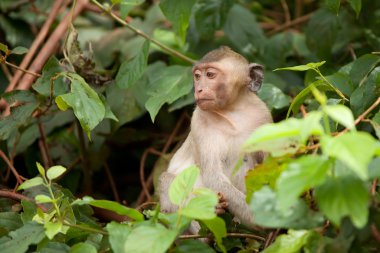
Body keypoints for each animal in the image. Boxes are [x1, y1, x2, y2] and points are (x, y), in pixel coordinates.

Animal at [157, 45, 274, 231]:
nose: (198, 89)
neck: (233, 111)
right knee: (166, 180)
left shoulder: (262, 115)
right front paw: (261, 218)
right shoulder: (199, 121)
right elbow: (213, 177)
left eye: (210, 75)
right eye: (197, 76)